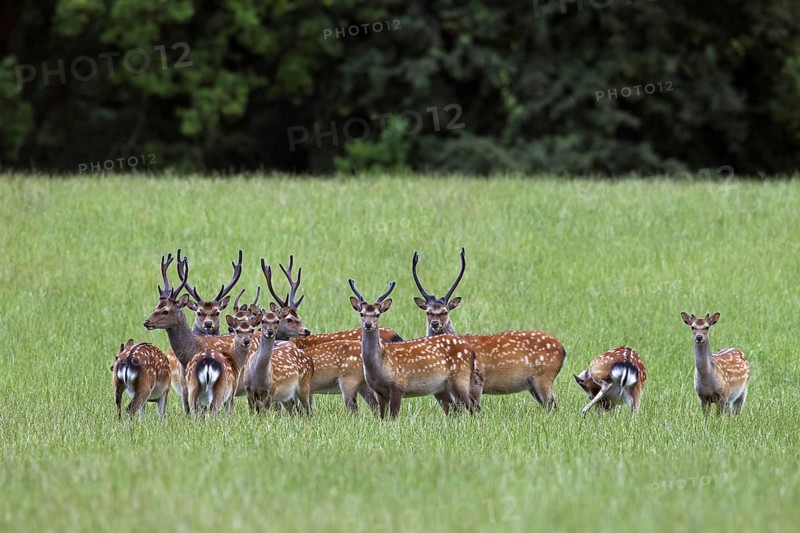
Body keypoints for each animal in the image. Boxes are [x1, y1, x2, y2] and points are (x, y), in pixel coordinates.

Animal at [348, 278, 478, 418]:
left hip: (460, 379)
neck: (379, 367)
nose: (368, 324)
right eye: (361, 313)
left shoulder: (398, 386)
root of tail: (471, 351)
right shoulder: (379, 392)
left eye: (377, 314)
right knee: (456, 409)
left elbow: (393, 417)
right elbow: (382, 417)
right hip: (443, 387)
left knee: (474, 406)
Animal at [411, 248, 566, 409]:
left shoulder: (477, 380)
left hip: (544, 377)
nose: (435, 323)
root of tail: (563, 349)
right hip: (533, 385)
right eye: (428, 311)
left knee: (553, 405)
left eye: (445, 311)